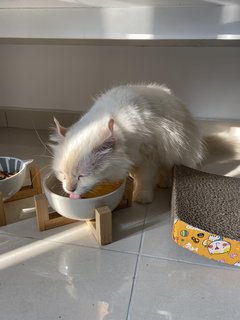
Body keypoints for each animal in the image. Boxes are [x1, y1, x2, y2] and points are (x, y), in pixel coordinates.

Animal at [50, 84, 204, 201]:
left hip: (174, 149)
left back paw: (165, 182)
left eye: (82, 176)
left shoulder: (149, 156)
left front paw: (142, 198)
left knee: (167, 167)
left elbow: (145, 179)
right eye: (62, 174)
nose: (69, 189)